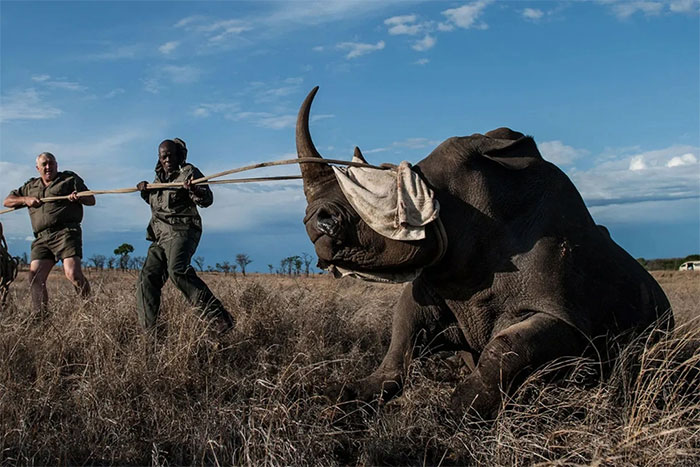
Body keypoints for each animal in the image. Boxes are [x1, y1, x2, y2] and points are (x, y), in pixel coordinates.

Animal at [296, 87, 672, 419]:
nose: (315, 223)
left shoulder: (566, 316)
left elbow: (506, 348)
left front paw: (452, 415)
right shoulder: (438, 279)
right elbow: (401, 336)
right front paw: (345, 397)